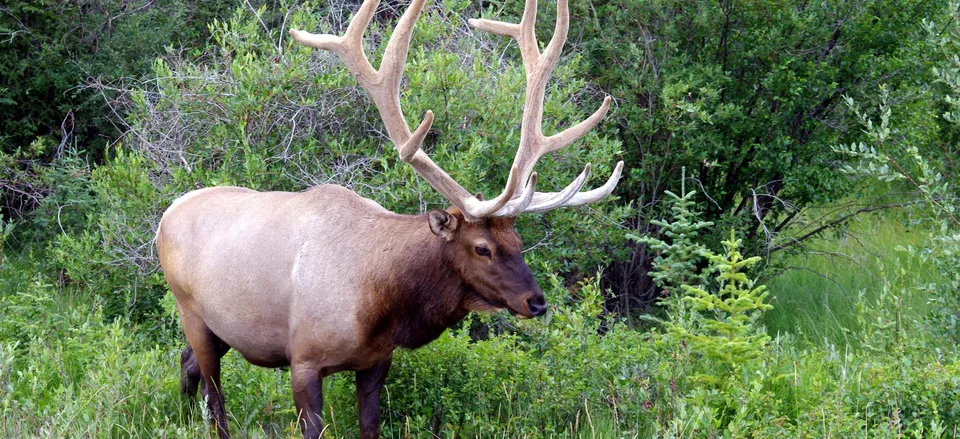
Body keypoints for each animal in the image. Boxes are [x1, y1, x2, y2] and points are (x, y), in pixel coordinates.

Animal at [156, 0, 624, 436]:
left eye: (519, 244)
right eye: (482, 248)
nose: (537, 301)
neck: (381, 303)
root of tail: (167, 214)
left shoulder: (377, 361)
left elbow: (371, 425)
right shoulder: (303, 359)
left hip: (221, 328)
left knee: (186, 363)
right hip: (191, 311)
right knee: (214, 396)